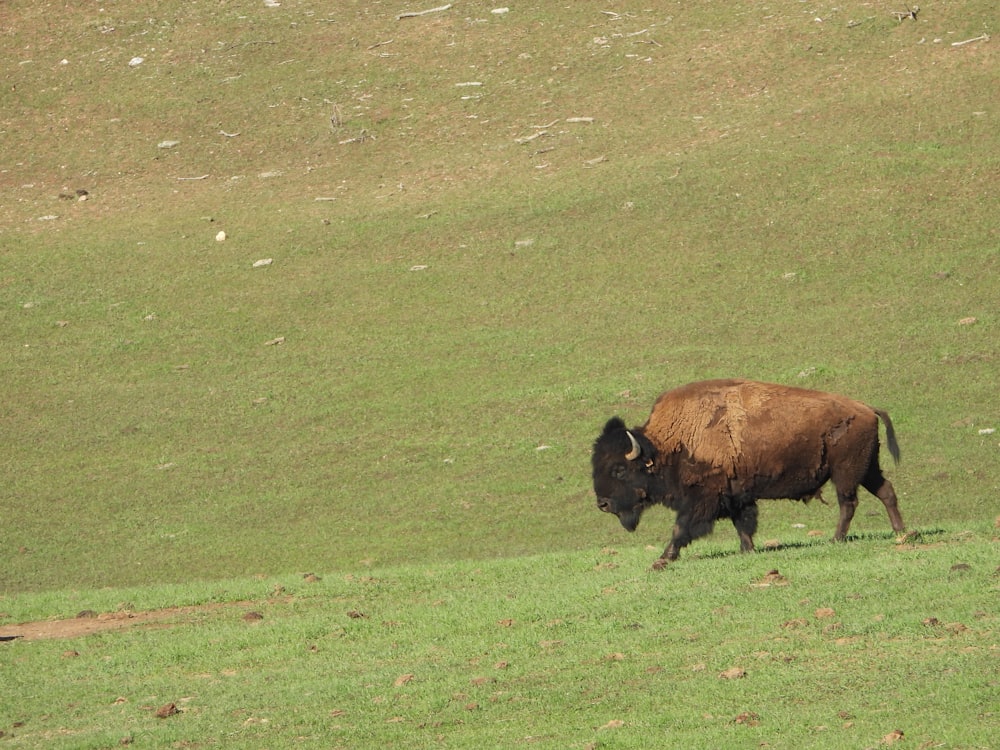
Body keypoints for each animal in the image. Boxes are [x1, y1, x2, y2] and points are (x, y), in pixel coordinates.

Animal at [588, 382, 912, 568]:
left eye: (619, 469)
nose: (602, 504)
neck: (665, 444)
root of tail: (867, 408)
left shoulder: (702, 498)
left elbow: (681, 528)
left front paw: (663, 559)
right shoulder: (735, 495)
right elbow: (742, 523)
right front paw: (748, 550)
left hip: (845, 473)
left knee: (848, 503)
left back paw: (836, 540)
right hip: (868, 469)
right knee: (886, 491)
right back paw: (901, 531)